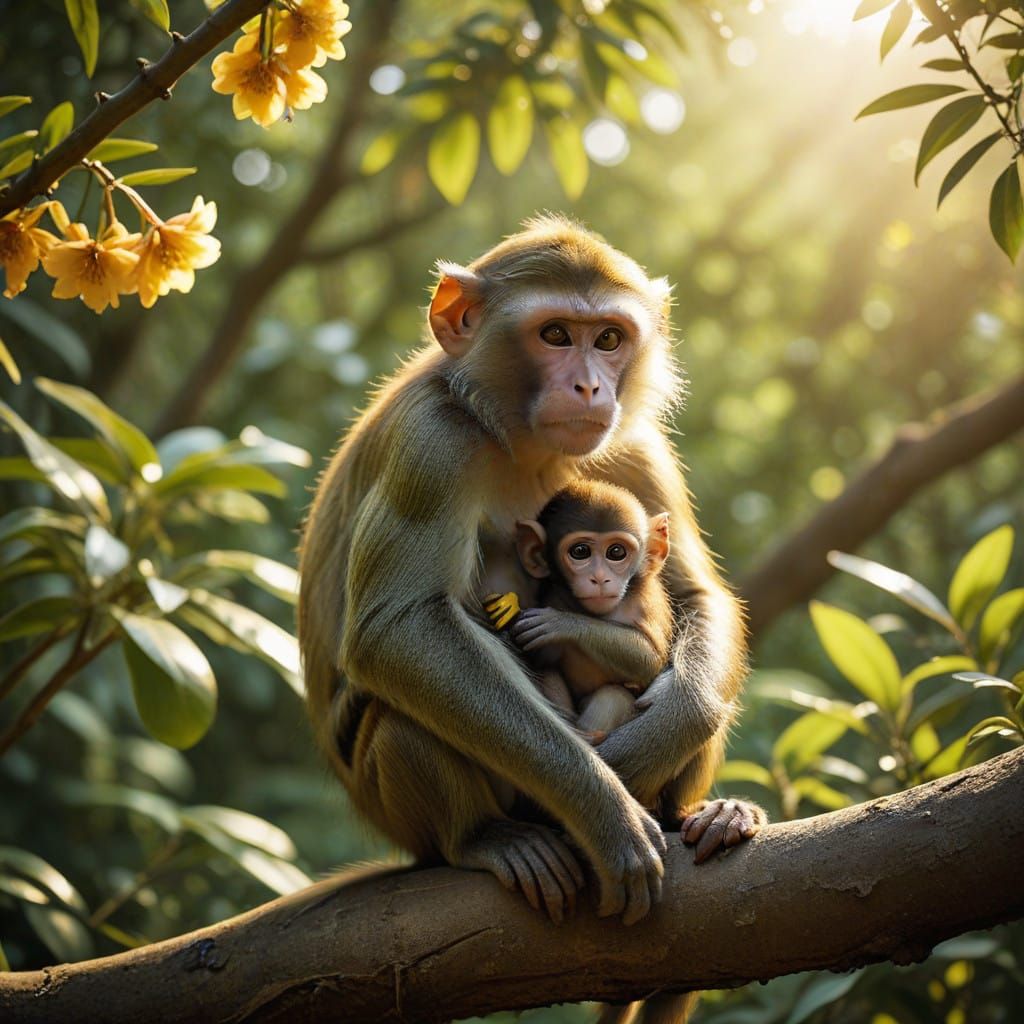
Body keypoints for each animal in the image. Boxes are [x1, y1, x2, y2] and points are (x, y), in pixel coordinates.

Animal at [486, 480, 674, 747]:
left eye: (616, 552)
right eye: (580, 551)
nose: (600, 578)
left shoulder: (647, 601)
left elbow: (648, 659)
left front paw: (560, 623)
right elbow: (542, 661)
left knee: (613, 695)